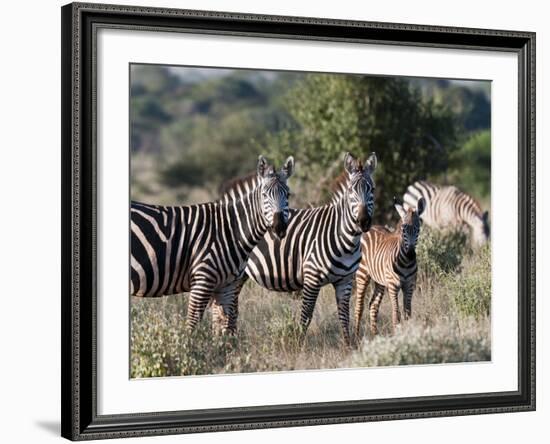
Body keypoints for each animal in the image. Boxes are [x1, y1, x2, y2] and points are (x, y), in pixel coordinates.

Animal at [131, 156, 296, 332]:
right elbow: (192, 325)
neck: (230, 230)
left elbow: (225, 328)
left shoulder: (227, 287)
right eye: (264, 195)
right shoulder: (202, 281)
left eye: (288, 195)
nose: (279, 227)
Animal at [216, 153, 380, 346]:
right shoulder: (312, 278)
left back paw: (227, 339)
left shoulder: (345, 280)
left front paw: (348, 346)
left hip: (239, 275)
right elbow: (306, 315)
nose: (363, 221)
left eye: (373, 189)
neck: (346, 239)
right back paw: (223, 339)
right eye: (351, 191)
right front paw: (299, 345)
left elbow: (344, 316)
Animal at [354, 196, 426, 338]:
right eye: (403, 229)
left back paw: (375, 335)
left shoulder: (409, 285)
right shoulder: (393, 286)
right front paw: (398, 335)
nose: (410, 254)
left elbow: (407, 313)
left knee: (373, 305)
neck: (406, 263)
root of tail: (370, 228)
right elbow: (396, 313)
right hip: (362, 275)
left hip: (380, 281)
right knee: (359, 307)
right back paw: (356, 338)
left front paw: (408, 333)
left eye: (418, 229)